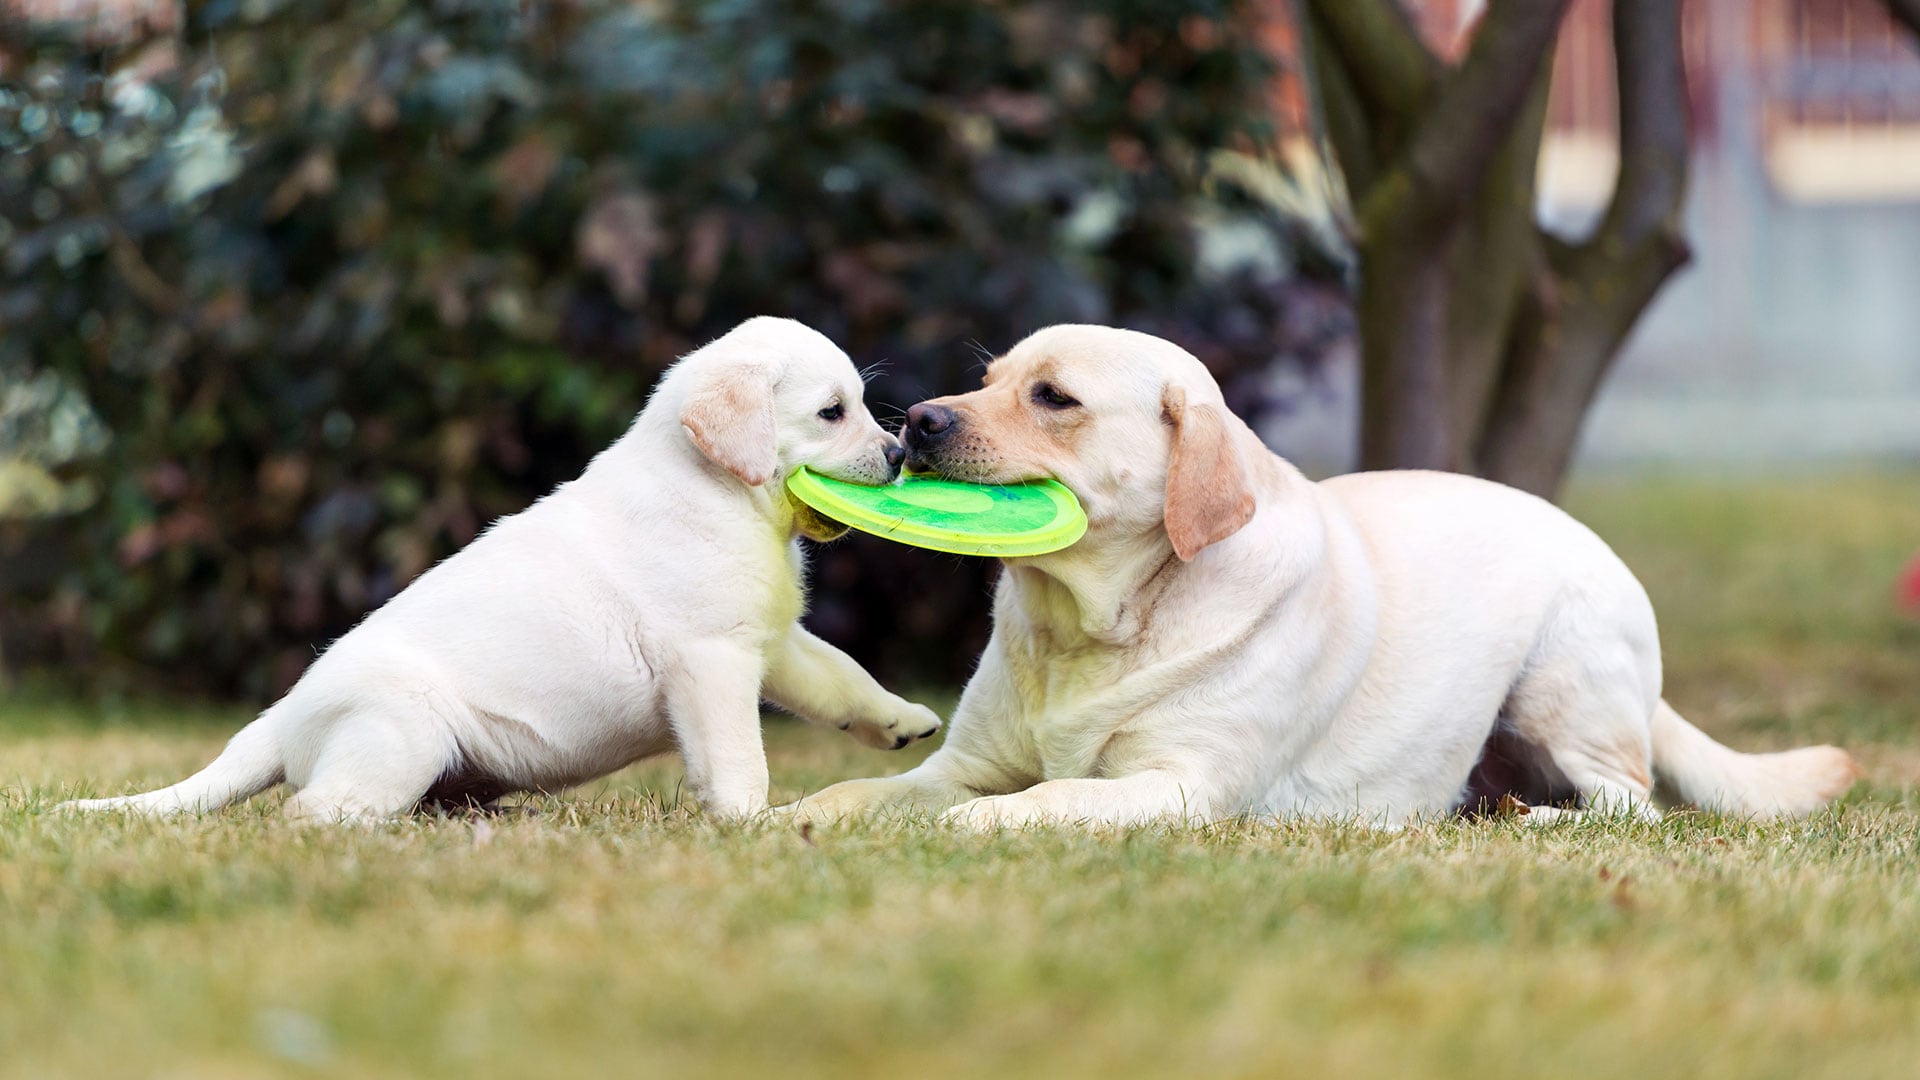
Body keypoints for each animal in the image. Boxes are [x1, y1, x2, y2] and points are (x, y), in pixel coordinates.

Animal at [65, 315, 944, 818]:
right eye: (832, 413)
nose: (897, 453)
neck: (718, 489)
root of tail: (279, 720)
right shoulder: (711, 662)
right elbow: (738, 757)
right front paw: (751, 825)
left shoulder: (773, 641)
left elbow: (842, 677)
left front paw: (902, 720)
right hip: (404, 733)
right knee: (313, 812)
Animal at [783, 320, 1858, 822]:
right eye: (990, 378)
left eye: (1054, 398)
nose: (919, 421)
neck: (1094, 625)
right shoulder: (959, 766)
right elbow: (856, 797)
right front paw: (790, 817)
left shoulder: (1183, 786)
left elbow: (1047, 800)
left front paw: (989, 828)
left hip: (1566, 683)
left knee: (1625, 807)